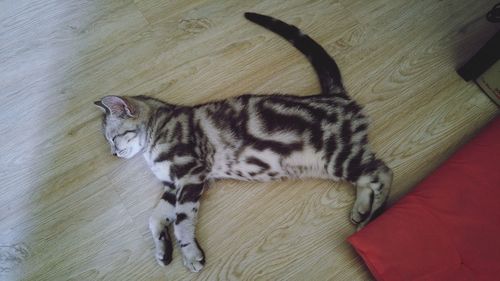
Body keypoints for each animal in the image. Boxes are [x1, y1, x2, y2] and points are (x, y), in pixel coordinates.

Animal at [93, 12, 390, 272]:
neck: (157, 131)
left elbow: (181, 220)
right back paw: (361, 209)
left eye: (113, 138)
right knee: (368, 176)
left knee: (382, 172)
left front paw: (190, 255)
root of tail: (337, 96)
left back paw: (374, 217)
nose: (113, 154)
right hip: (337, 163)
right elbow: (155, 217)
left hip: (336, 157)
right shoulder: (172, 184)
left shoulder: (190, 174)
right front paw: (163, 251)